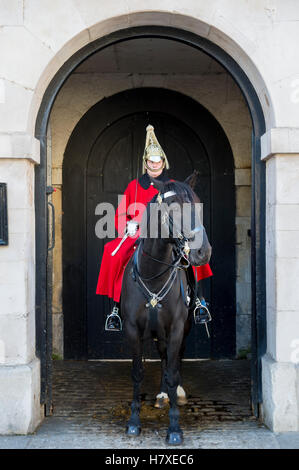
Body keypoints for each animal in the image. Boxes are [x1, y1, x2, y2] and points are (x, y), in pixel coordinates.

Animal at [120, 173, 212, 444]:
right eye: (173, 208)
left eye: (198, 205)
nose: (203, 252)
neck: (154, 274)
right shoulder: (132, 330)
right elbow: (137, 373)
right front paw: (133, 421)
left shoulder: (177, 328)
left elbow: (172, 370)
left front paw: (174, 428)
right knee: (162, 357)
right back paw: (161, 395)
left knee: (175, 359)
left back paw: (173, 393)